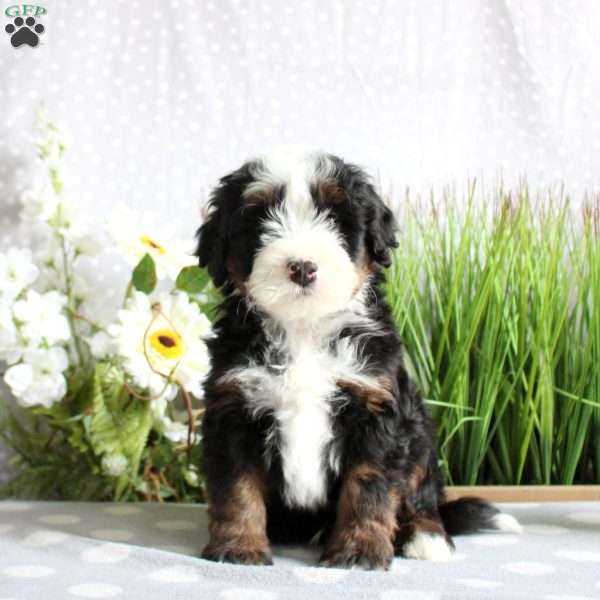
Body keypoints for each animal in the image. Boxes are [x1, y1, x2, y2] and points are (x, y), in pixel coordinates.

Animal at [197, 150, 520, 568]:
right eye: (260, 221)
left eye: (335, 220)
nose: (303, 266)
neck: (304, 329)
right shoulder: (233, 406)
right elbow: (237, 487)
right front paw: (239, 546)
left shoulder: (376, 407)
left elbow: (368, 487)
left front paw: (359, 550)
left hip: (419, 433)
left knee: (422, 494)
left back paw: (426, 536)